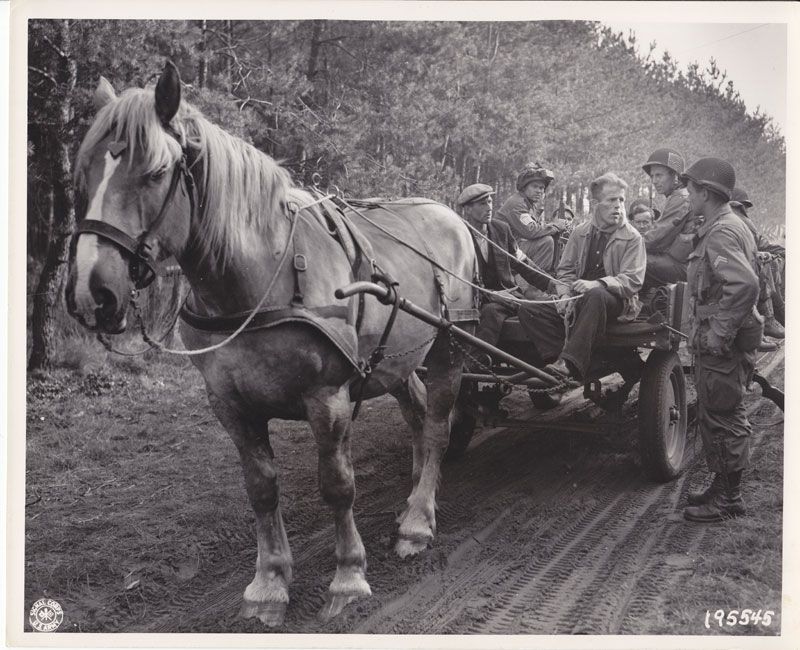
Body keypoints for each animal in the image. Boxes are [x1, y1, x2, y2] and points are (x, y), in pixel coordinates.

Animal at [65, 60, 476, 624]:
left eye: (155, 172)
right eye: (82, 173)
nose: (92, 291)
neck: (261, 275)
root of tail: (450, 213)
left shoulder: (327, 398)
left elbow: (337, 485)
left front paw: (349, 575)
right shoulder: (230, 403)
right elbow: (261, 489)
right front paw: (269, 582)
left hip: (449, 347)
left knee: (436, 426)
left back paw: (417, 521)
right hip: (396, 359)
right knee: (416, 414)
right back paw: (417, 497)